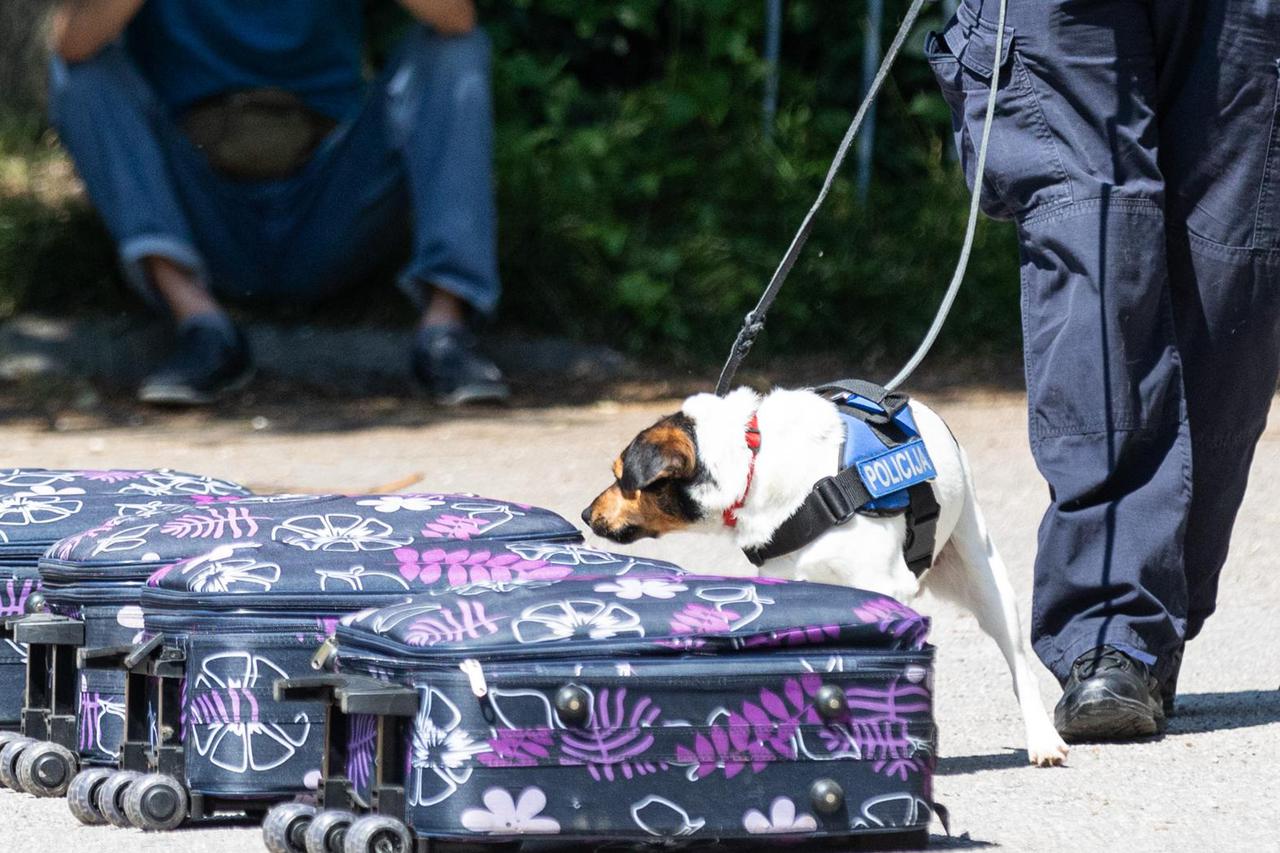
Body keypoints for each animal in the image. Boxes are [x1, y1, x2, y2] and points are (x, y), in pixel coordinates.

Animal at [586, 384, 1070, 763]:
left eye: (621, 477)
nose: (586, 514)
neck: (754, 463)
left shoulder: (883, 587)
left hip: (985, 578)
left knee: (1019, 664)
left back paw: (1043, 740)